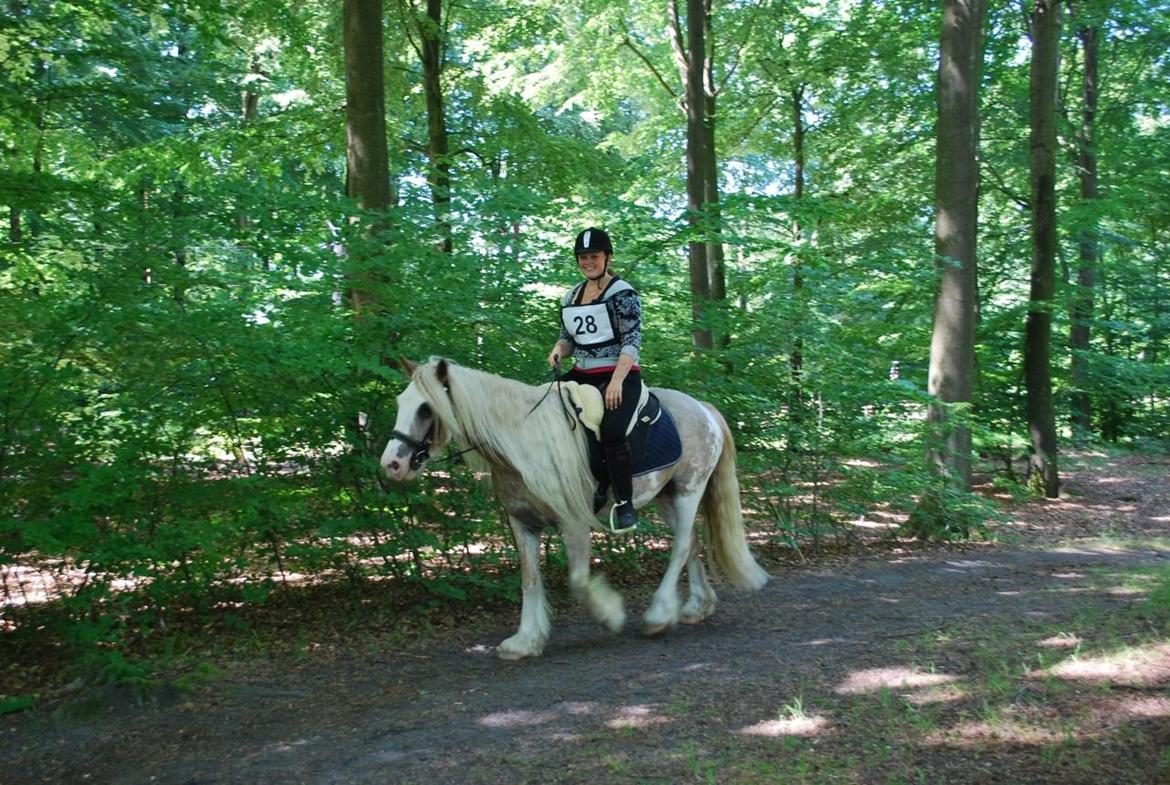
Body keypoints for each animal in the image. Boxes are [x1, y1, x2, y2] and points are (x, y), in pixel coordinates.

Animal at [383, 360, 767, 659]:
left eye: (426, 408)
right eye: (401, 401)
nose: (392, 465)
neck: (523, 441)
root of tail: (704, 408)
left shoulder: (573, 523)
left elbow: (578, 580)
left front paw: (610, 615)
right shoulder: (522, 523)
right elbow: (529, 580)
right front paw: (525, 640)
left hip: (689, 490)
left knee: (682, 545)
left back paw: (659, 614)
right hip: (666, 496)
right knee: (691, 544)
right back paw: (696, 607)